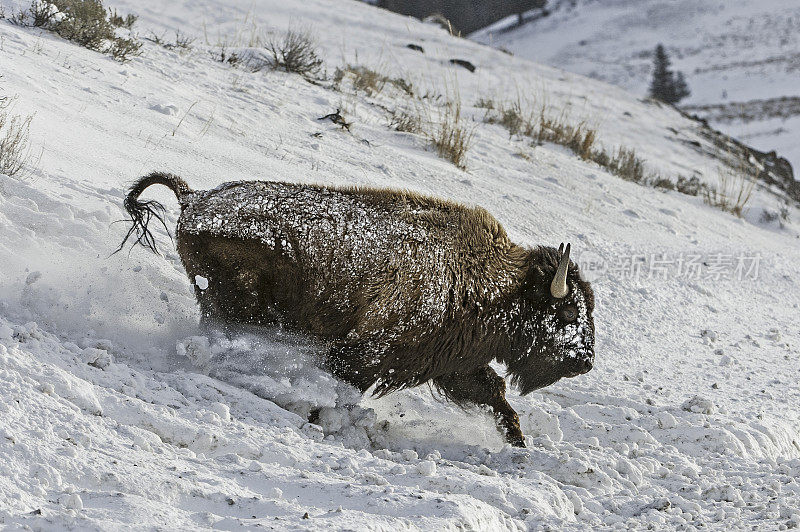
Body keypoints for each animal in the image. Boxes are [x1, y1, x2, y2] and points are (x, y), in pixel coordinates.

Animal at [119, 172, 592, 446]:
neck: (488, 278)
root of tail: (194, 198)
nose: (584, 362)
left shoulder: (453, 363)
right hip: (237, 304)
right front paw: (321, 416)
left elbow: (493, 394)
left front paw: (518, 444)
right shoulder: (370, 352)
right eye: (568, 312)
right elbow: (343, 385)